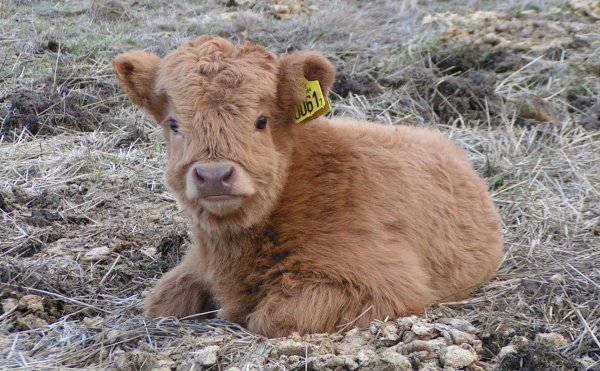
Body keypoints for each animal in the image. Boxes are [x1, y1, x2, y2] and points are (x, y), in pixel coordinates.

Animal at [111, 36, 502, 338]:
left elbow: (272, 317)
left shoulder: (386, 285)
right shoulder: (193, 267)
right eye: (174, 123)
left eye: (261, 121)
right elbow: (162, 299)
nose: (214, 175)